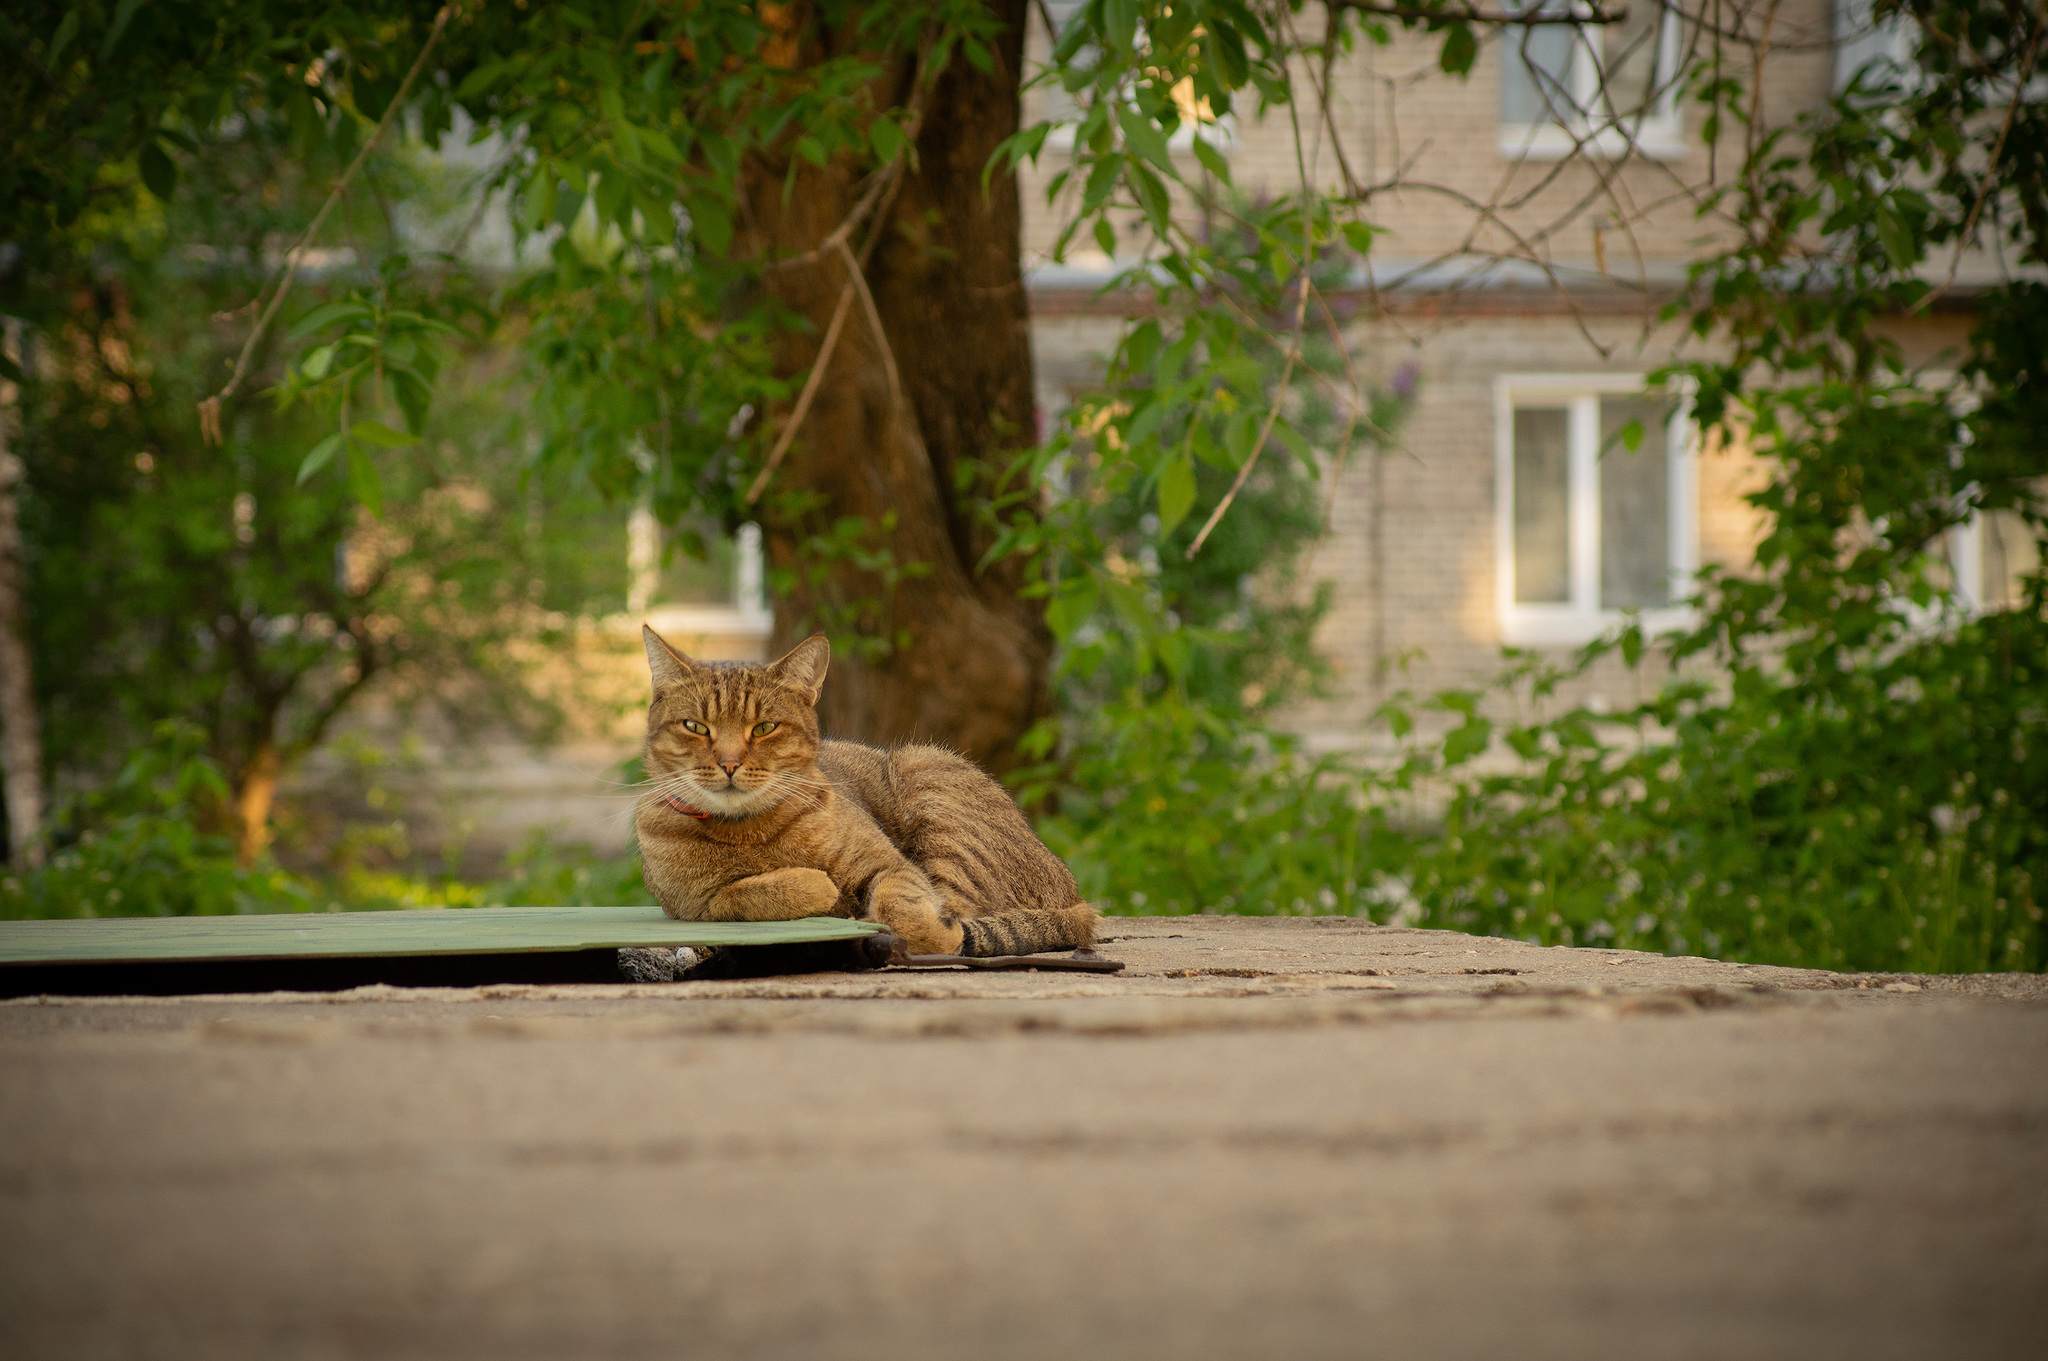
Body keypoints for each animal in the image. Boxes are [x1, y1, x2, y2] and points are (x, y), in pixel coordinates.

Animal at [630, 626, 1097, 953]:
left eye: (764, 727)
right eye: (695, 726)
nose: (729, 764)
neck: (746, 831)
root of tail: (1070, 885)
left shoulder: (891, 866)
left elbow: (905, 910)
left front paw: (931, 933)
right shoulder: (693, 905)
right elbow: (750, 892)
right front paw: (816, 888)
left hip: (927, 775)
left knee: (966, 909)